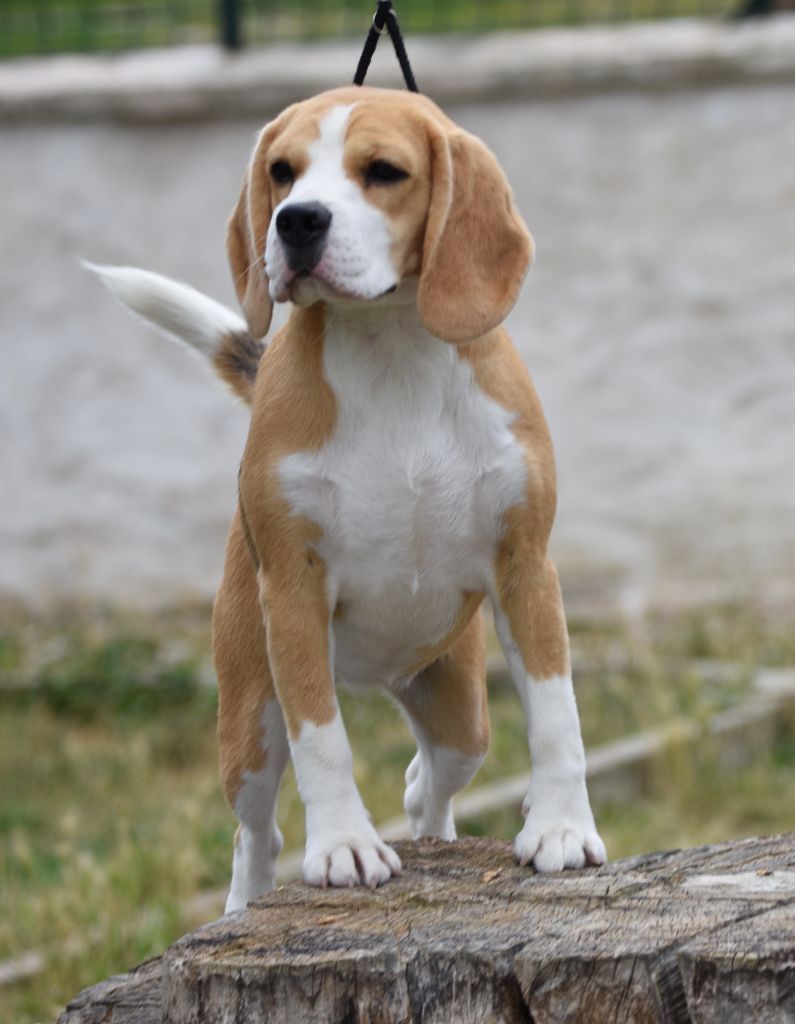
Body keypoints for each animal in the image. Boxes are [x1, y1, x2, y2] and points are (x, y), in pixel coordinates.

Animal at [90, 81, 606, 913]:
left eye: (383, 171)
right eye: (282, 171)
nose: (296, 221)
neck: (389, 345)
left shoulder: (526, 565)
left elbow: (558, 713)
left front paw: (560, 827)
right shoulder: (294, 593)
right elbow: (323, 740)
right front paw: (341, 846)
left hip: (458, 708)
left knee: (426, 781)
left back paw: (440, 837)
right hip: (249, 715)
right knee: (255, 833)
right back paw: (249, 901)